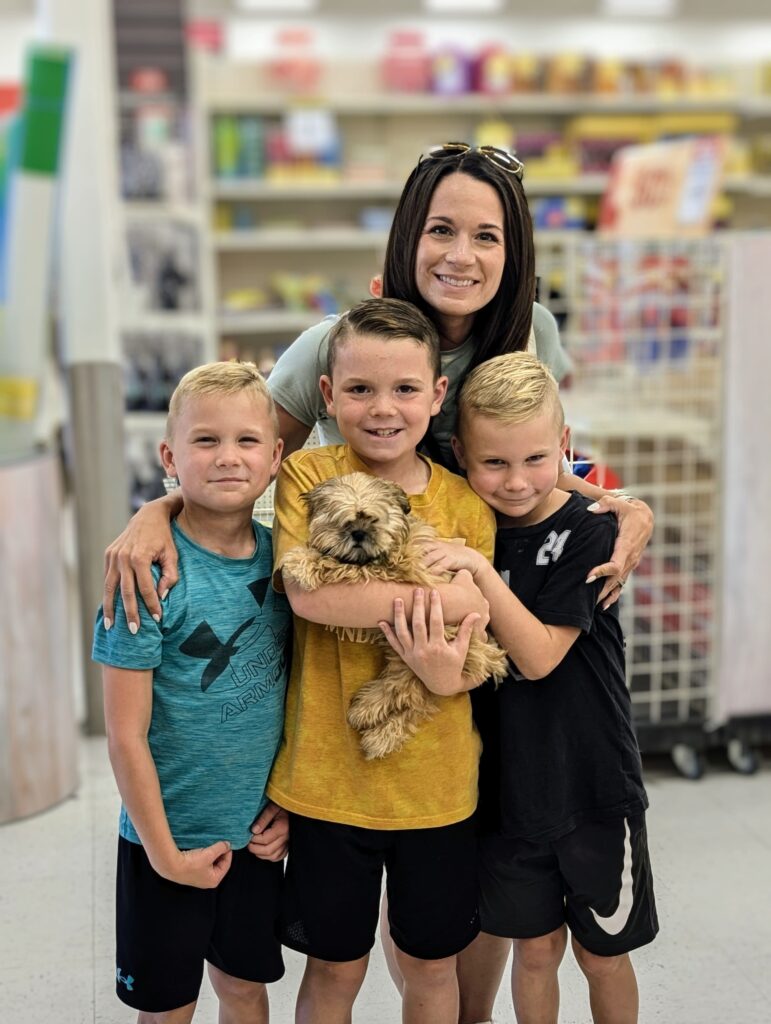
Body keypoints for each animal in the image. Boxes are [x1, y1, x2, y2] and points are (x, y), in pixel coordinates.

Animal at [279, 472, 508, 759]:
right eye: (344, 521)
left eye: (373, 520)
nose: (358, 533)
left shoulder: (393, 569)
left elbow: (341, 566)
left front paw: (303, 561)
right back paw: (369, 714)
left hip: (434, 654)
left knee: (408, 693)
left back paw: (373, 724)